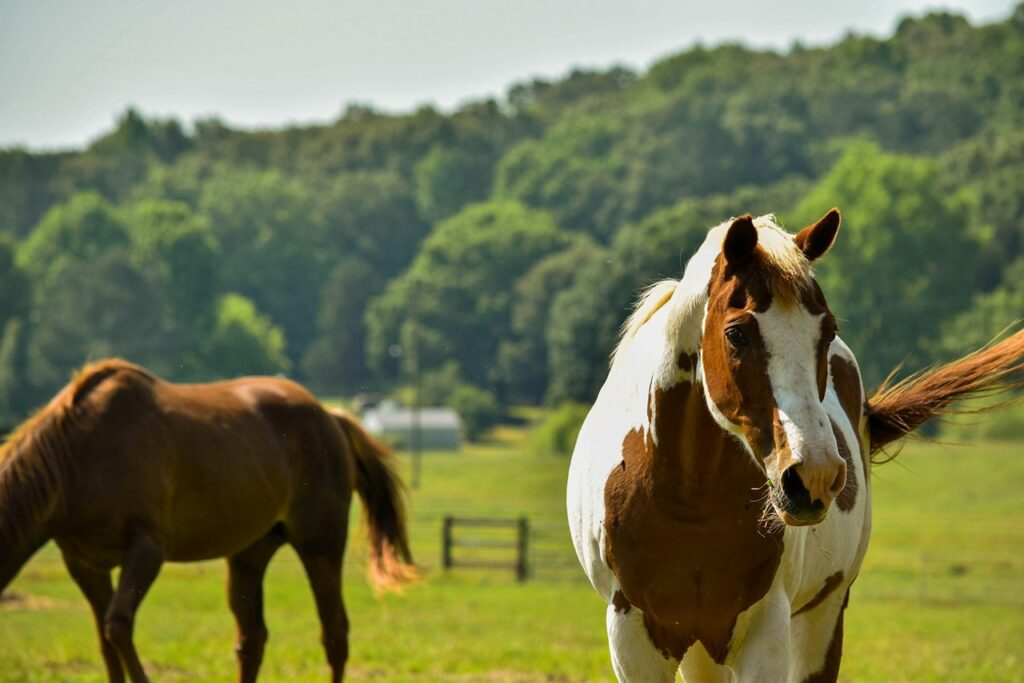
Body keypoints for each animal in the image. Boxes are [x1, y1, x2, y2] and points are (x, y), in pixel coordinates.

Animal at [0, 359, 416, 683]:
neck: (77, 457)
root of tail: (331, 418)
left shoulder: (146, 551)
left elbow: (117, 626)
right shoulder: (85, 564)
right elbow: (105, 641)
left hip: (320, 546)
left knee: (334, 635)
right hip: (250, 554)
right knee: (252, 640)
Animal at [567, 209, 1024, 682]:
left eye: (827, 330)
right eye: (737, 334)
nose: (815, 475)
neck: (689, 504)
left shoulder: (766, 628)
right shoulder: (631, 634)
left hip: (822, 615)